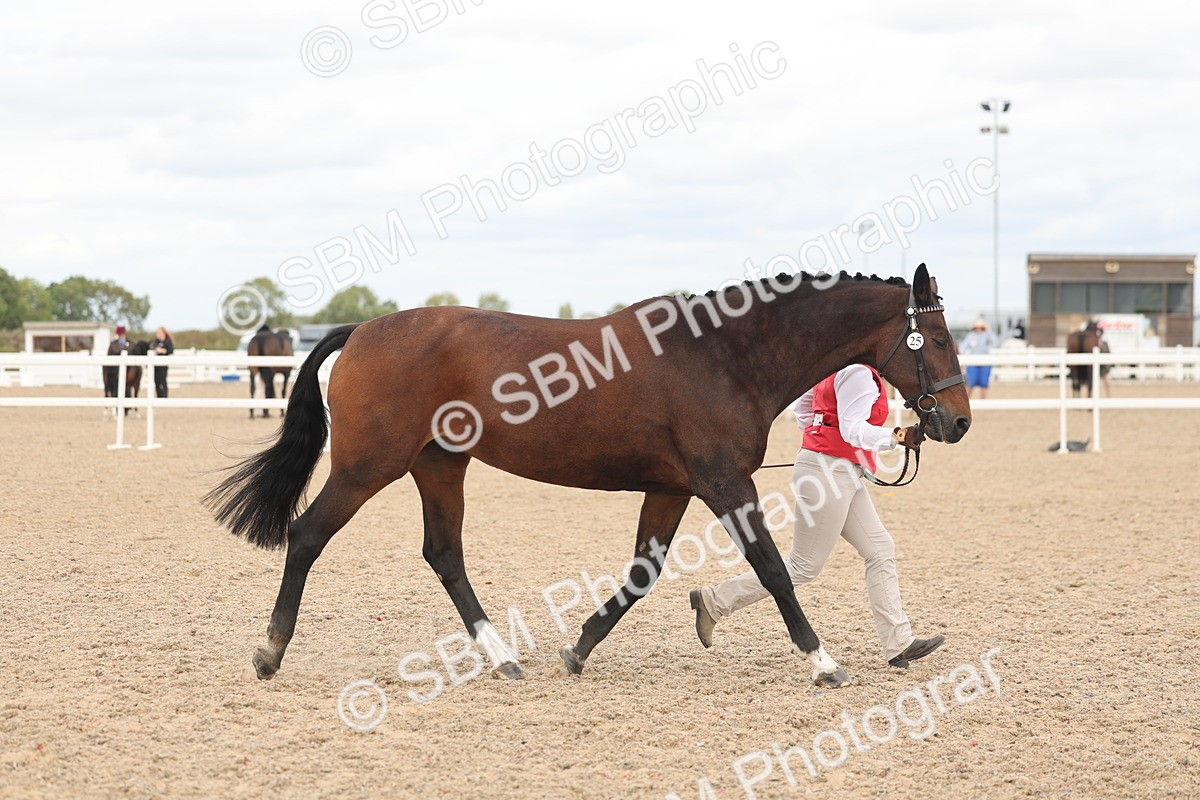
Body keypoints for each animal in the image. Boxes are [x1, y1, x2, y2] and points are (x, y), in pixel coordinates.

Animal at [206, 263, 971, 691]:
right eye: (936, 338)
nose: (957, 422)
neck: (724, 356)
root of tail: (362, 329)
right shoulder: (725, 484)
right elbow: (775, 569)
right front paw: (823, 663)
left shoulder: (672, 487)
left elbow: (643, 573)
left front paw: (577, 649)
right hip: (370, 465)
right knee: (308, 536)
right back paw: (269, 653)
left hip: (439, 465)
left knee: (444, 553)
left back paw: (501, 658)